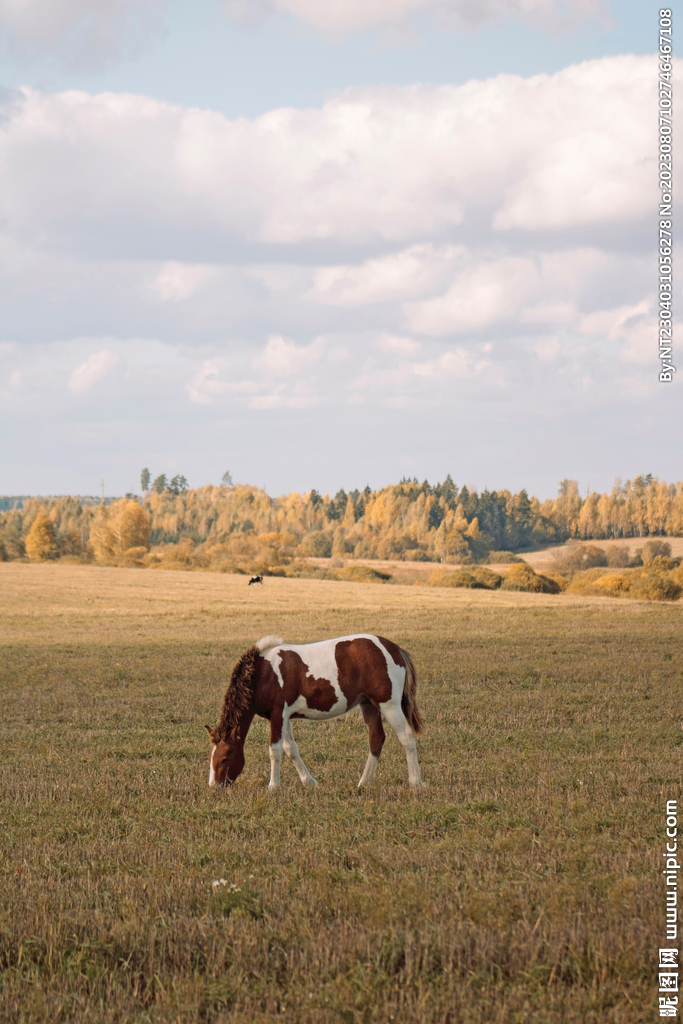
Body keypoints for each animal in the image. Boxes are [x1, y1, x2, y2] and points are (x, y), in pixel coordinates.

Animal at [205, 634, 424, 791]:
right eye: (211, 757)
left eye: (225, 758)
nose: (214, 787)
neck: (263, 674)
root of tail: (394, 649)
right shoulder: (284, 717)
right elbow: (291, 749)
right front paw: (308, 782)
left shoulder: (277, 715)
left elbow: (275, 751)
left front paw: (273, 787)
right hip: (368, 704)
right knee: (376, 739)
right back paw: (364, 783)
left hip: (389, 704)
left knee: (406, 737)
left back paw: (415, 783)